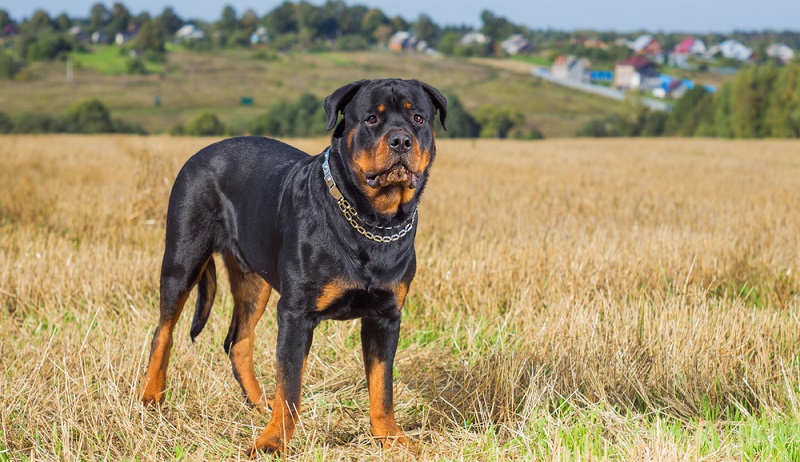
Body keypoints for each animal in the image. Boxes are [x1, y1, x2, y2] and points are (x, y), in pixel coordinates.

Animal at [141, 79, 446, 454]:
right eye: (372, 118)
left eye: (418, 117)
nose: (401, 140)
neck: (372, 220)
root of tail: (201, 153)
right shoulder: (296, 313)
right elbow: (289, 386)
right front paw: (272, 442)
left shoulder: (385, 316)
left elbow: (381, 386)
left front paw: (390, 438)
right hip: (183, 259)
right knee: (163, 332)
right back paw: (151, 397)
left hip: (254, 282)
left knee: (239, 342)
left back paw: (259, 403)